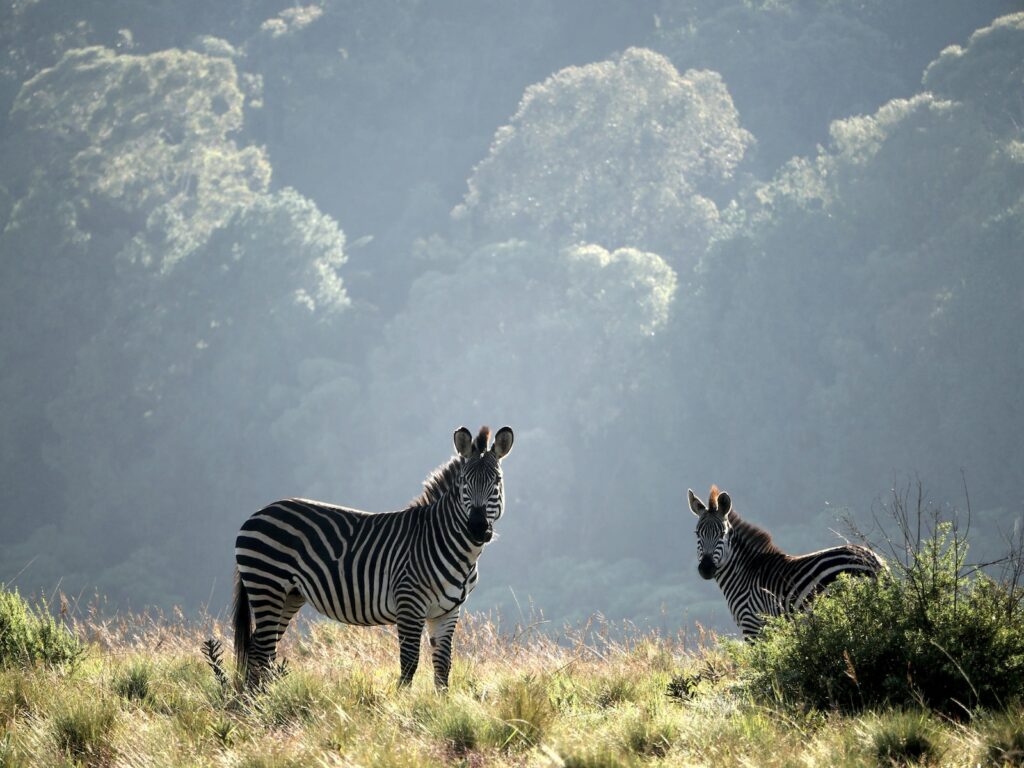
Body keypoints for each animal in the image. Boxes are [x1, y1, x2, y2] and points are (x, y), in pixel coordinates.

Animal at [233, 425, 513, 690]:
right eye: (465, 482)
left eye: (497, 481)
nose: (477, 528)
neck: (453, 547)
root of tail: (257, 513)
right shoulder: (409, 604)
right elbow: (409, 663)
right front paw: (401, 704)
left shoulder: (447, 612)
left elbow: (443, 667)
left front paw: (441, 705)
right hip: (267, 586)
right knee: (261, 650)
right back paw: (259, 702)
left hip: (289, 595)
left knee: (259, 649)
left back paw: (256, 700)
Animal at [688, 484, 884, 639]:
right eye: (697, 534)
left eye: (722, 534)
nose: (706, 569)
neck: (744, 573)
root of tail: (872, 559)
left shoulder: (752, 624)